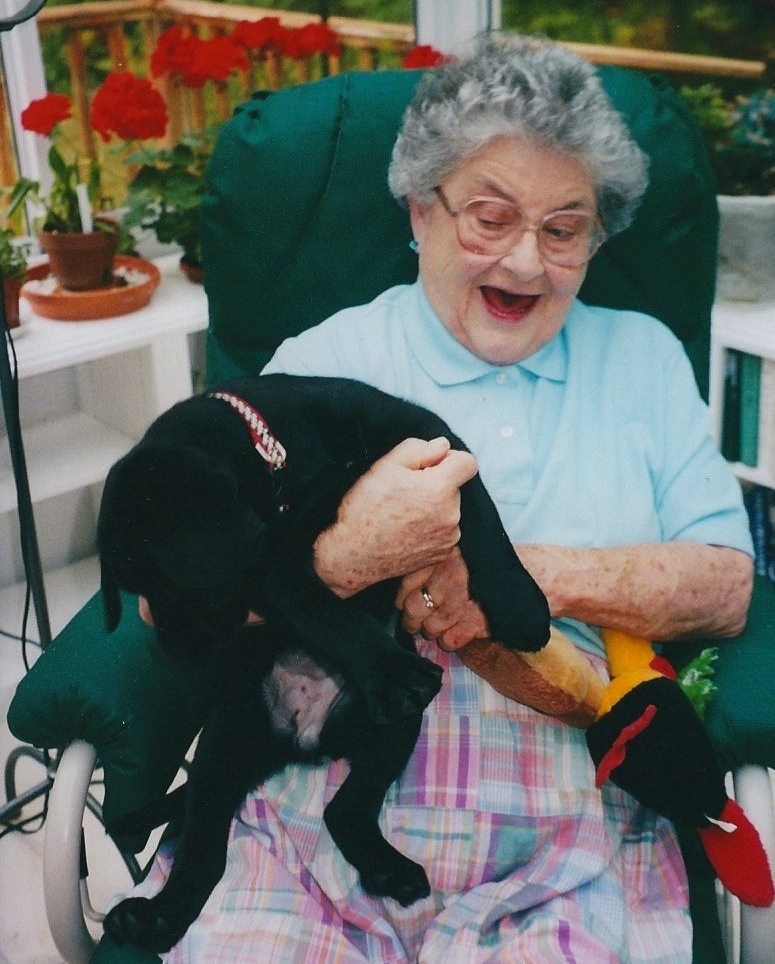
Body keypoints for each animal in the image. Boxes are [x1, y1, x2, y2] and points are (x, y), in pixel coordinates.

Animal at [98, 372, 552, 952]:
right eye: (139, 593)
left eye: (168, 585)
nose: (177, 652)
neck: (276, 454)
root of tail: (304, 741)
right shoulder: (270, 557)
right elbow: (310, 601)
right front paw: (391, 670)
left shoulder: (429, 437)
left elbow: (481, 513)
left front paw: (519, 603)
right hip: (222, 749)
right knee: (204, 857)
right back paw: (152, 920)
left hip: (392, 731)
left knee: (342, 811)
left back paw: (389, 869)